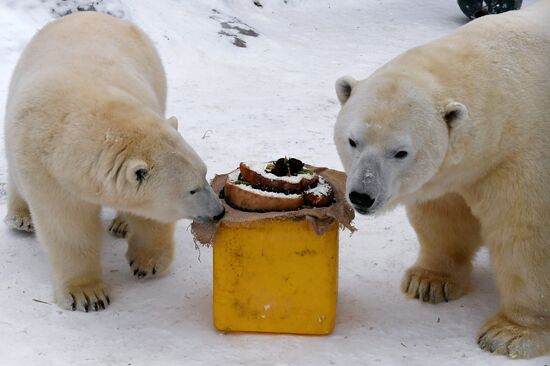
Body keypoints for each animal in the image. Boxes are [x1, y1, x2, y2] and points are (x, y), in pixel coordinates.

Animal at [4, 13, 224, 312]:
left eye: (205, 174)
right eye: (192, 189)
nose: (218, 212)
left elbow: (147, 214)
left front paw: (148, 263)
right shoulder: (47, 171)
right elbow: (68, 226)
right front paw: (87, 295)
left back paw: (121, 225)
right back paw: (21, 218)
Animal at [336, 0, 550, 358]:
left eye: (400, 152)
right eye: (353, 141)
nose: (362, 196)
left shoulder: (524, 156)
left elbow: (527, 234)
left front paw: (510, 334)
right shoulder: (458, 170)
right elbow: (442, 215)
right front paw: (428, 282)